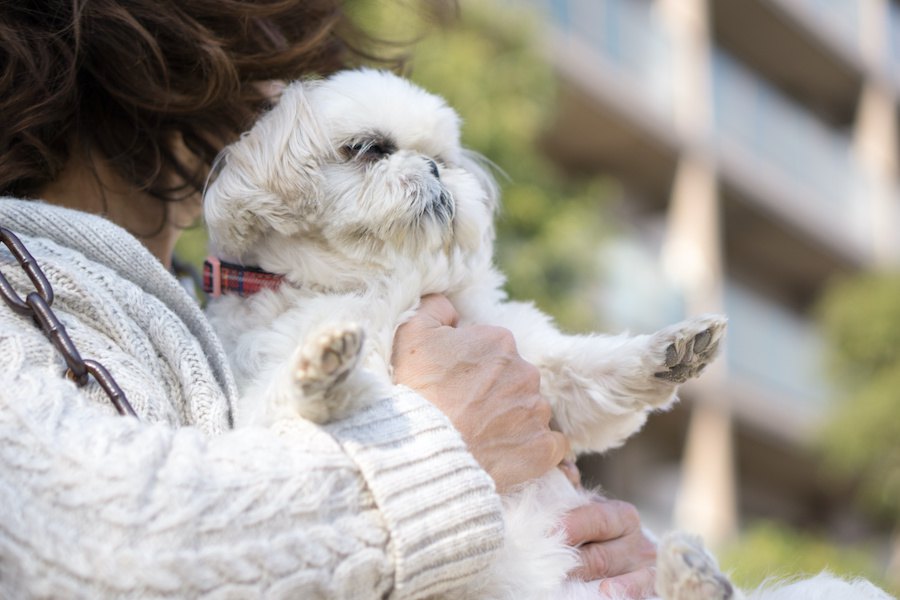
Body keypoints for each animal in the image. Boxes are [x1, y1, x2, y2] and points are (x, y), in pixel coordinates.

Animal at [200, 69, 888, 600]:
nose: (434, 170)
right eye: (368, 148)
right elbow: (299, 398)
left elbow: (592, 372)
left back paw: (696, 576)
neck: (386, 282)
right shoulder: (266, 396)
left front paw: (671, 351)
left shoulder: (535, 363)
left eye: (446, 158)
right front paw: (326, 367)